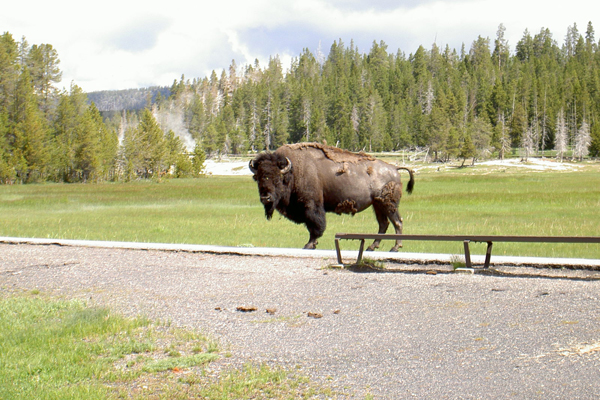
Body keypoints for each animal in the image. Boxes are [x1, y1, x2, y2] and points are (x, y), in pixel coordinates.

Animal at [248, 142, 412, 252]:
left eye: (277, 179)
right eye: (259, 179)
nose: (266, 198)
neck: (293, 171)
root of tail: (394, 168)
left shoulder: (311, 206)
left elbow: (315, 225)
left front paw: (309, 245)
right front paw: (311, 244)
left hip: (388, 204)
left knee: (397, 222)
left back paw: (395, 247)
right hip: (377, 205)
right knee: (384, 224)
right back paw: (372, 247)